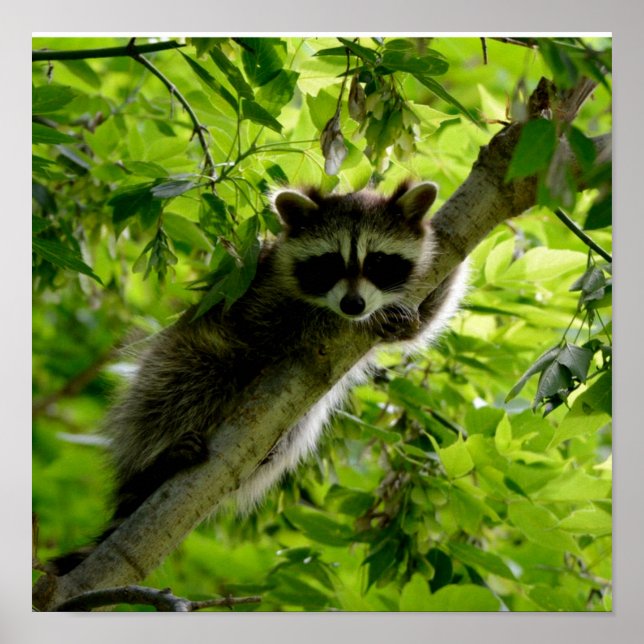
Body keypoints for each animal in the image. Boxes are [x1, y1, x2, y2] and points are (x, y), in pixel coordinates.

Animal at [49, 180, 467, 574]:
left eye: (378, 261)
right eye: (329, 263)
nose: (353, 305)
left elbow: (424, 317)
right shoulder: (259, 290)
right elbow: (278, 327)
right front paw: (326, 320)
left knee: (297, 426)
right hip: (178, 359)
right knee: (185, 382)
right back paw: (155, 462)